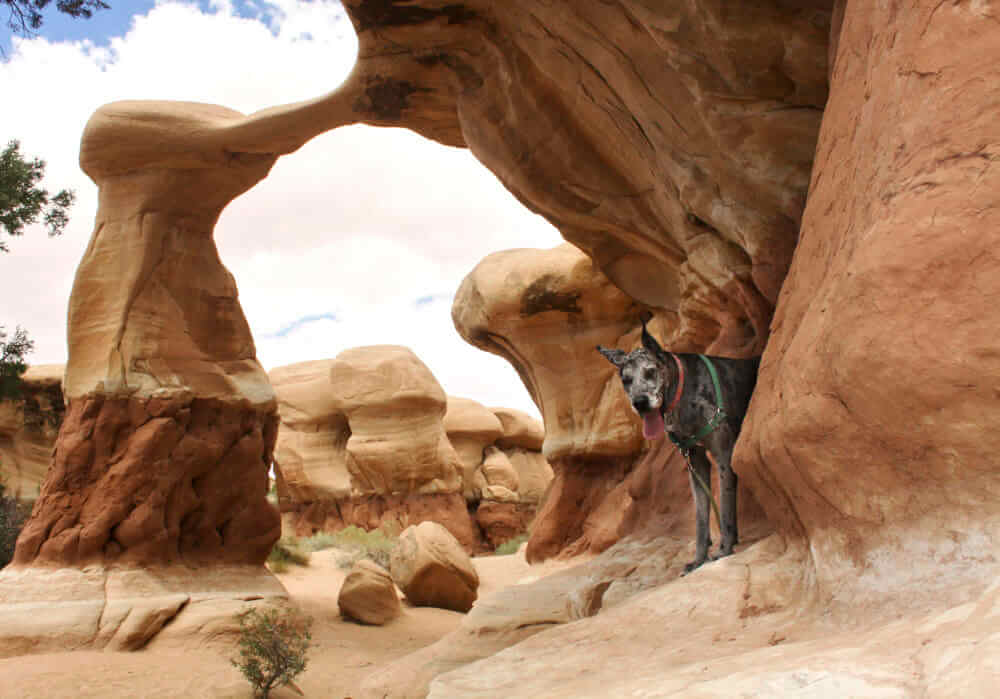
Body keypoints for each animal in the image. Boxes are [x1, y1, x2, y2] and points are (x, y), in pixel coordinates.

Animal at [600, 320, 756, 572]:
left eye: (650, 372)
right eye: (626, 380)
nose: (640, 402)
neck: (682, 393)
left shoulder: (724, 456)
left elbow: (724, 509)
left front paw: (724, 549)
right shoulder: (696, 463)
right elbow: (701, 518)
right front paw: (699, 559)